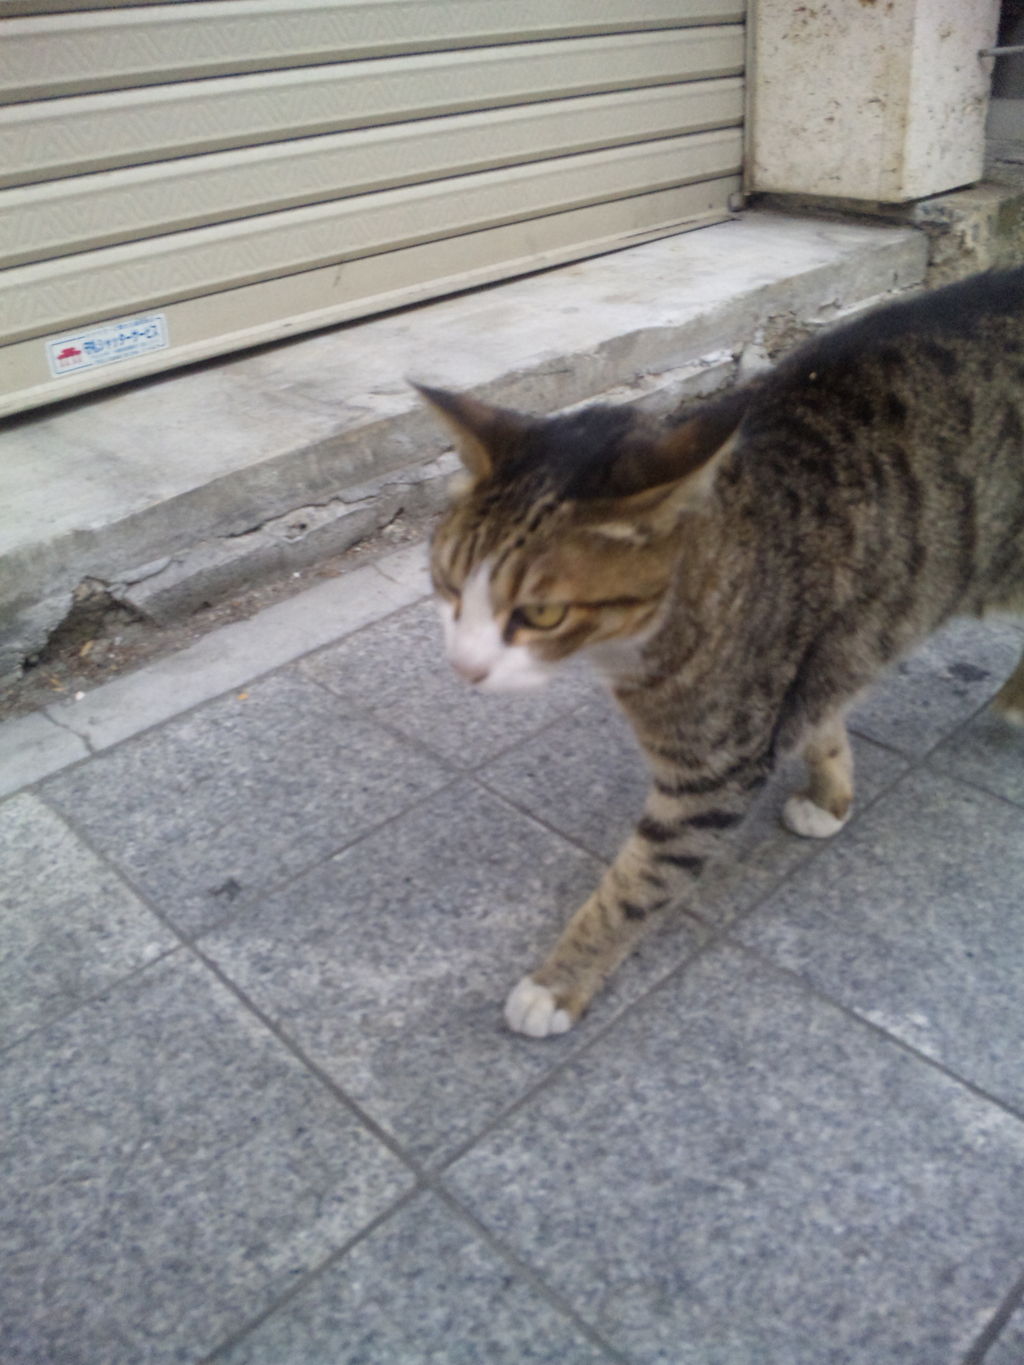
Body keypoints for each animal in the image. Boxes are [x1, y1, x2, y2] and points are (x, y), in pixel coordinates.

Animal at [419, 266, 1024, 1038]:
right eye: (446, 583)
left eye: (542, 614)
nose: (462, 668)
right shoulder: (820, 655)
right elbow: (821, 718)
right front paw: (831, 797)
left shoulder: (713, 771)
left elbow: (640, 880)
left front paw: (557, 983)